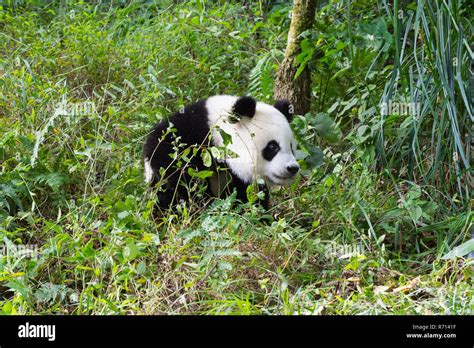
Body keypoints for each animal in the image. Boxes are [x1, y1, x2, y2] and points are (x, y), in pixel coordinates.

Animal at [143, 94, 300, 211]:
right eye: (272, 147)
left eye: (291, 147)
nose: (292, 168)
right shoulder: (189, 134)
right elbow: (174, 168)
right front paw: (201, 202)